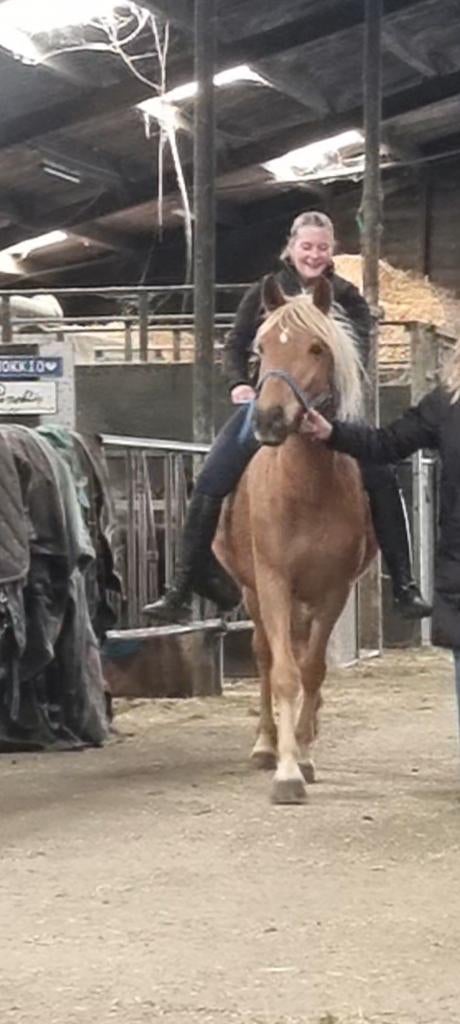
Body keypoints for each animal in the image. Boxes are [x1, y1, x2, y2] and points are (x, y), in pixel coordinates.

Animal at [214, 274, 377, 805]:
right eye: (260, 347)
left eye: (317, 347)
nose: (269, 420)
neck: (306, 488)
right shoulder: (272, 582)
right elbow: (284, 672)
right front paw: (285, 769)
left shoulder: (334, 589)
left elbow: (312, 669)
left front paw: (303, 756)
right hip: (252, 592)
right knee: (266, 657)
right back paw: (265, 745)